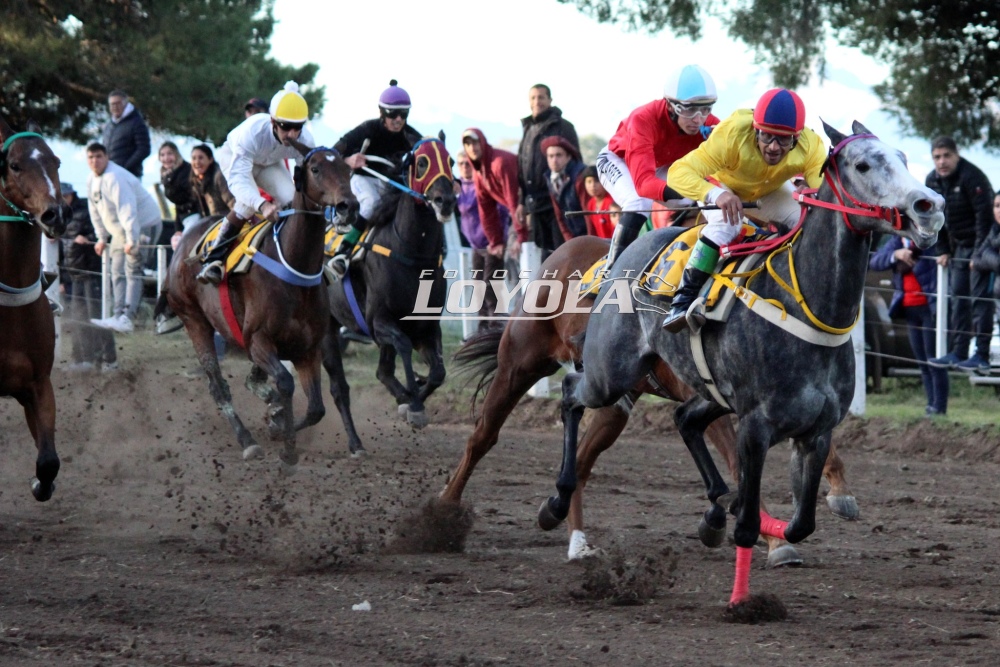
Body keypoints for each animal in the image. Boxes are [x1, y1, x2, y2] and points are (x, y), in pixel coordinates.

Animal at [169, 144, 360, 472]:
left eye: (348, 170)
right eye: (316, 169)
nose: (349, 206)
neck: (295, 266)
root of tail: (182, 243)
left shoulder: (308, 349)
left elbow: (316, 408)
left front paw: (277, 424)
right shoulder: (258, 340)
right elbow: (284, 382)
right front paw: (284, 442)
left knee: (252, 381)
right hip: (194, 321)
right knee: (218, 387)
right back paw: (247, 441)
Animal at [324, 136, 458, 446]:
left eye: (451, 160)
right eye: (421, 162)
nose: (445, 201)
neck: (411, 255)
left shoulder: (427, 326)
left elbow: (438, 372)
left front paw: (412, 399)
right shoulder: (379, 322)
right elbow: (404, 346)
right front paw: (414, 404)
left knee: (382, 371)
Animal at [446, 232, 860, 568]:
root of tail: (560, 250)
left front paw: (838, 494)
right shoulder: (718, 400)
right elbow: (738, 463)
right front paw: (773, 540)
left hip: (614, 399)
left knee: (580, 461)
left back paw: (571, 534)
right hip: (520, 363)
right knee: (483, 436)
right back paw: (444, 511)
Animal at [544, 122, 940, 612]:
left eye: (903, 157)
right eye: (864, 164)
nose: (929, 207)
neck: (805, 306)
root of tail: (625, 255)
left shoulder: (817, 430)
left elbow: (801, 522)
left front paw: (754, 521)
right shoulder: (756, 426)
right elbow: (750, 524)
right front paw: (742, 601)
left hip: (707, 392)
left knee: (685, 419)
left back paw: (714, 511)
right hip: (610, 373)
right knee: (570, 391)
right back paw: (557, 501)